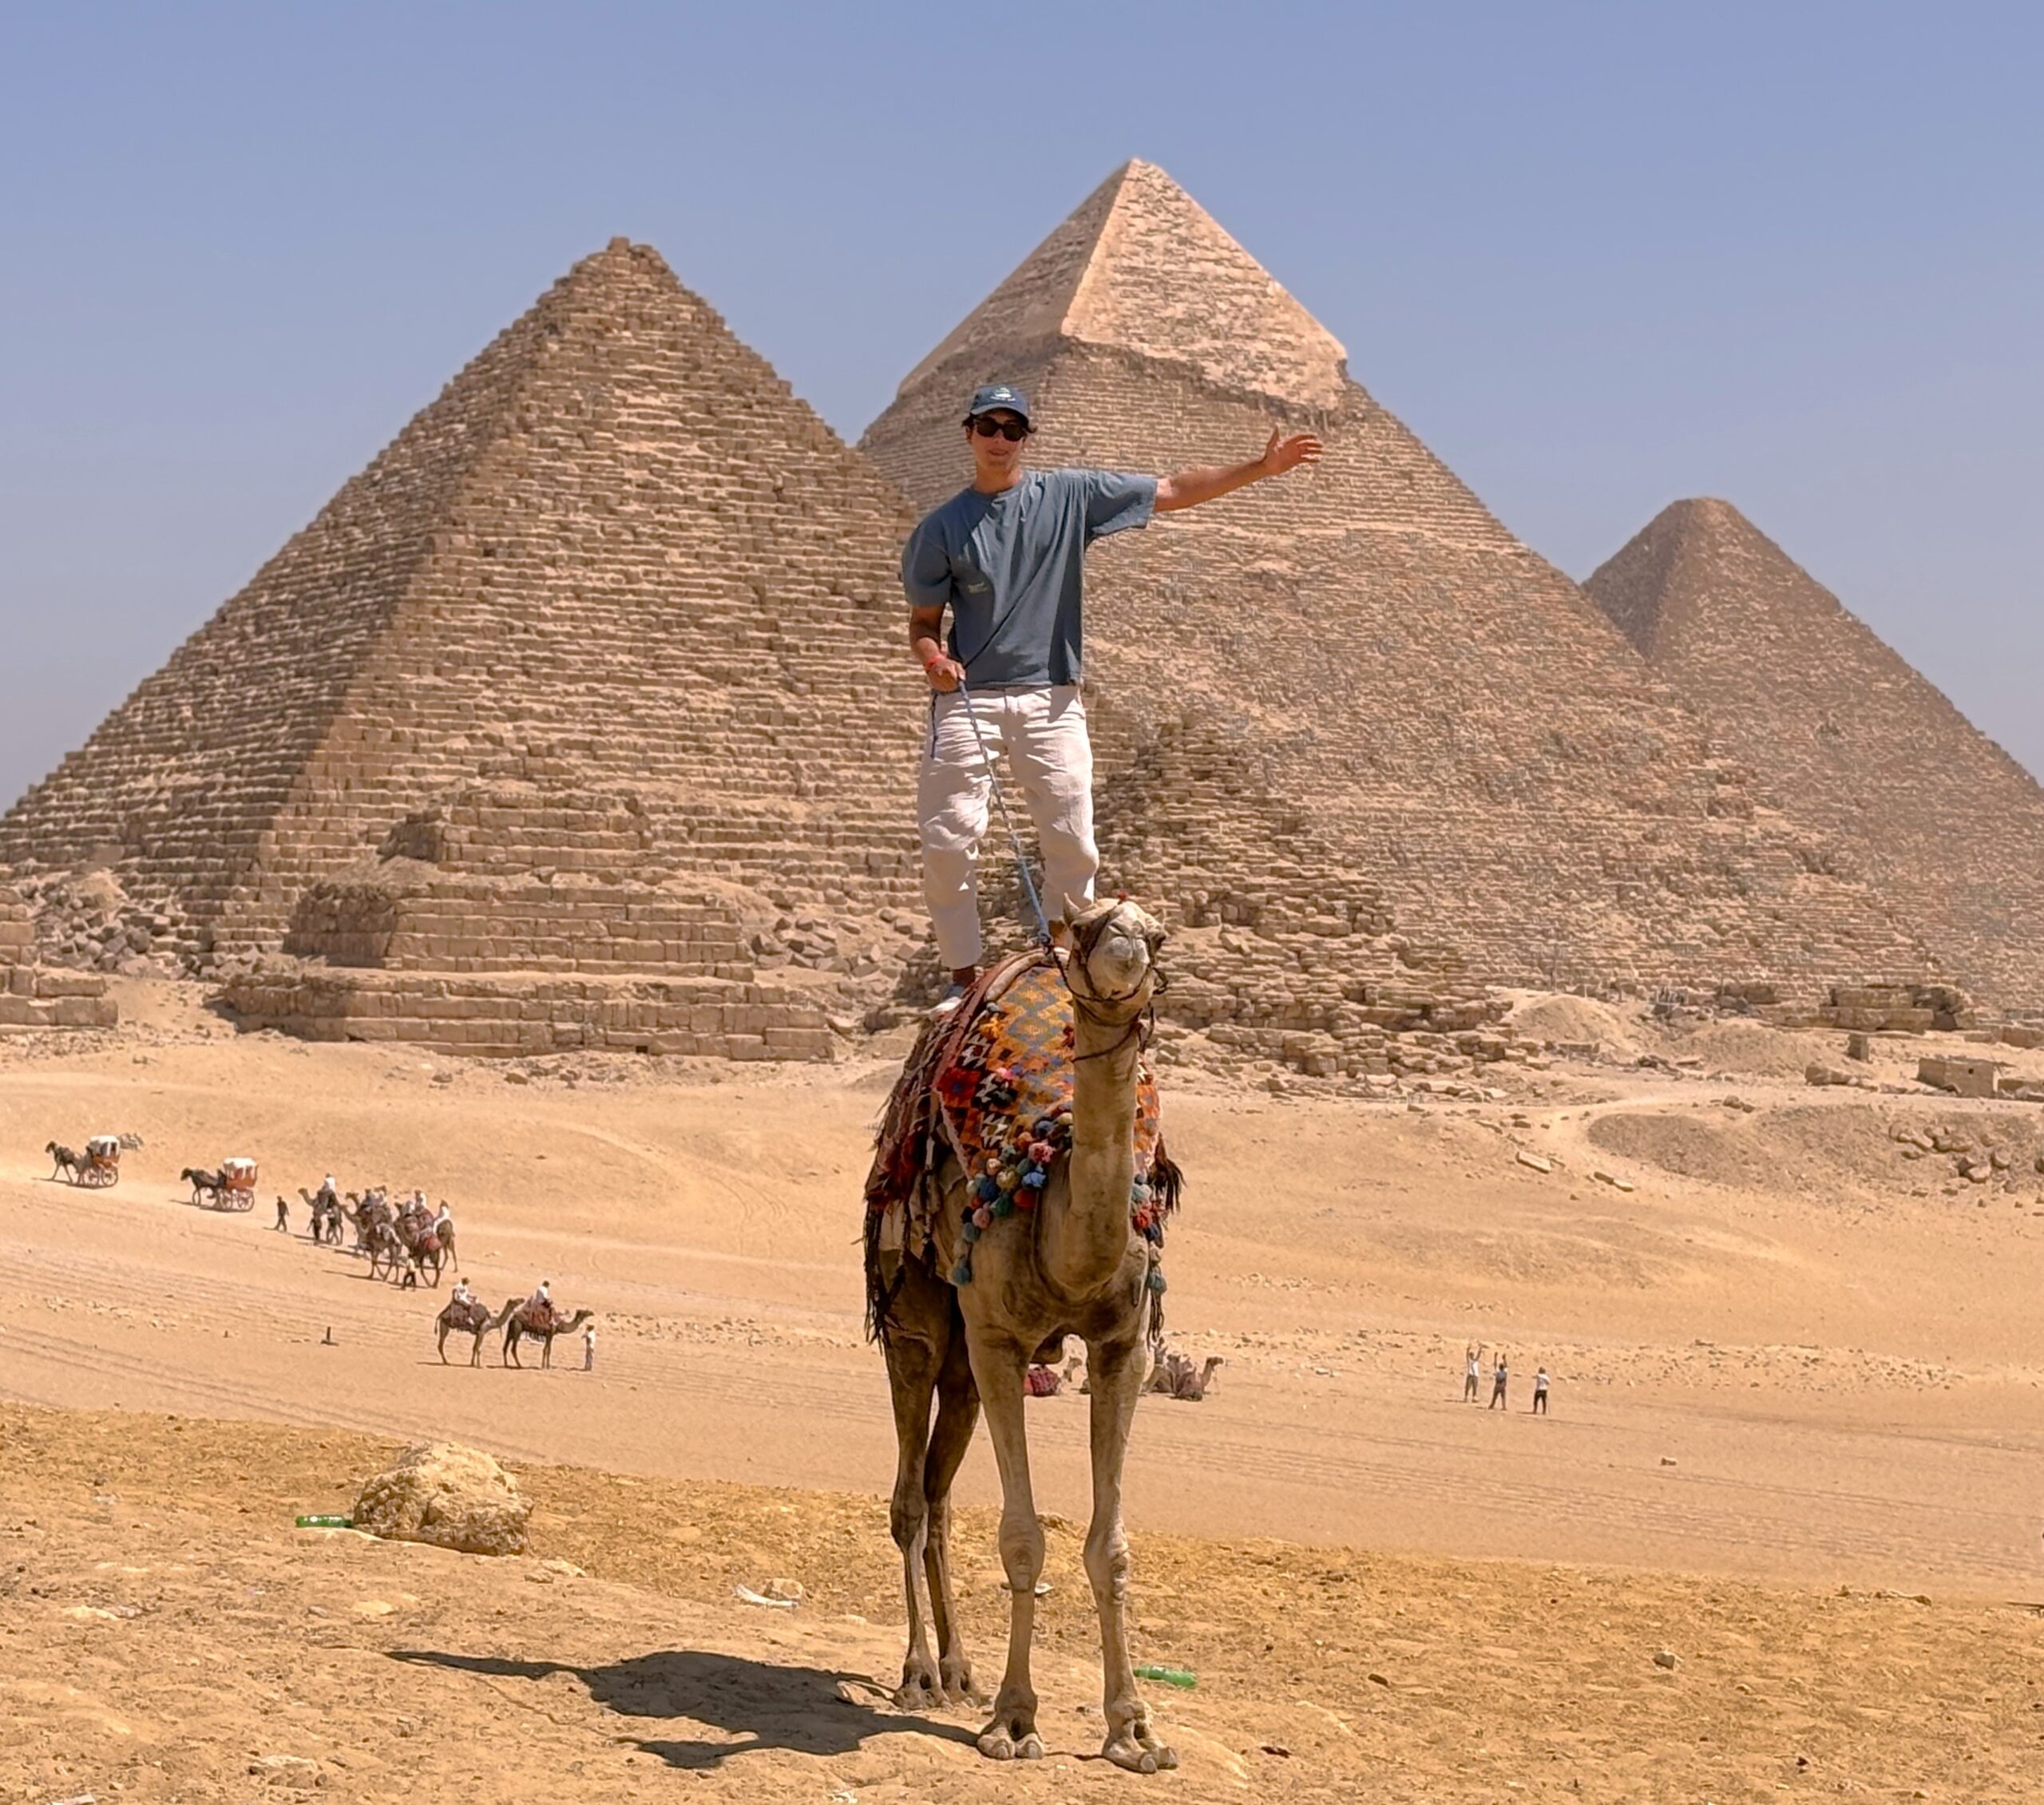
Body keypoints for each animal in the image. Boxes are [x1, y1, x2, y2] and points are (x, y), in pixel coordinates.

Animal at [870, 895, 1177, 1774]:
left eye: (1160, 934)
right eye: (1090, 926)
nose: (1126, 952)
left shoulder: (1125, 1348)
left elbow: (1111, 1545)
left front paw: (1133, 1728)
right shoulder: (1000, 1340)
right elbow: (1021, 1539)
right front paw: (1014, 1720)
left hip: (963, 1370)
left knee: (938, 1497)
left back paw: (957, 1668)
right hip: (918, 1320)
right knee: (909, 1497)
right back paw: (917, 1672)